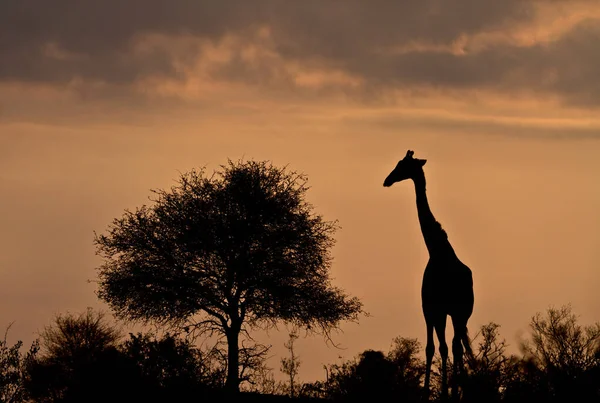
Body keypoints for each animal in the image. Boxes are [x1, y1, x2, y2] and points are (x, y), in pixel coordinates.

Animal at [384, 151, 474, 400]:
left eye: (403, 165)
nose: (387, 180)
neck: (437, 250)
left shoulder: (436, 309)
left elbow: (439, 348)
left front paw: (439, 392)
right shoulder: (431, 308)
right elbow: (431, 348)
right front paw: (432, 392)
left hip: (460, 313)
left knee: (455, 346)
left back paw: (454, 391)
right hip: (455, 314)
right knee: (455, 345)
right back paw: (456, 390)